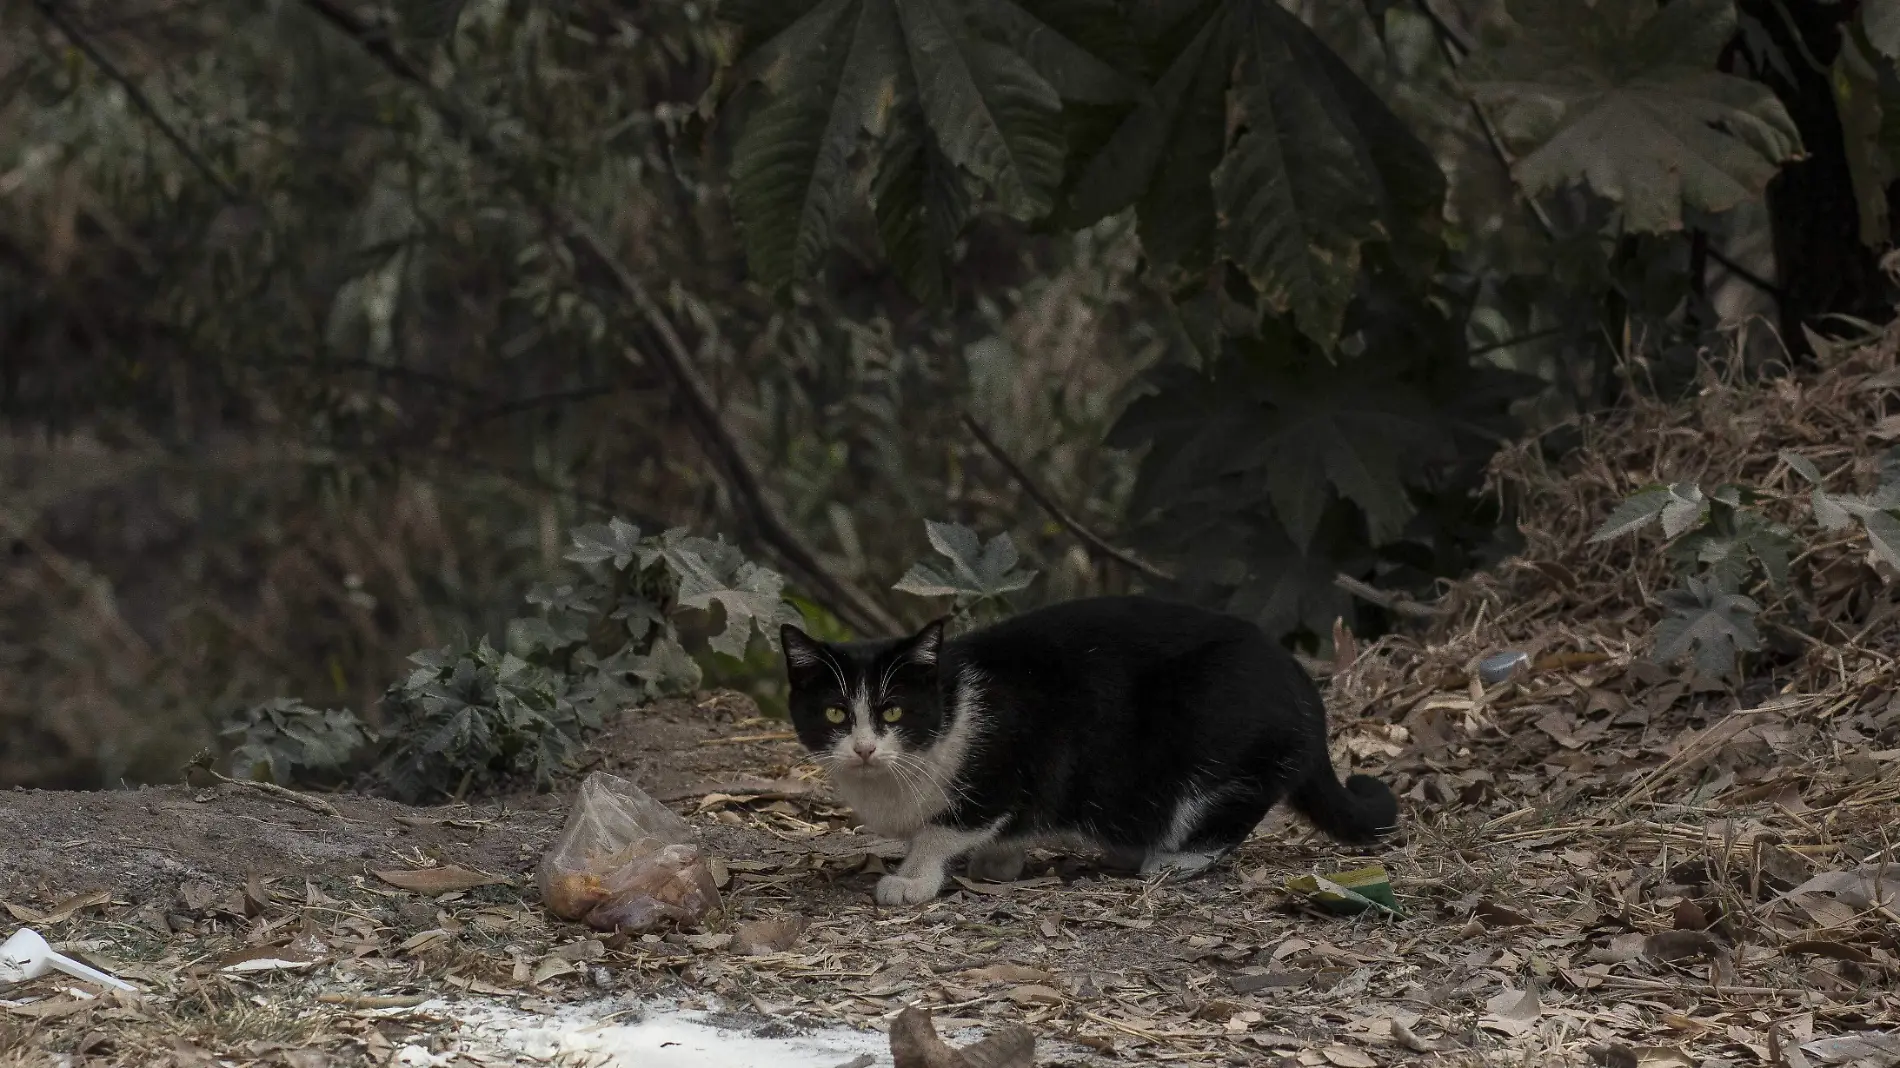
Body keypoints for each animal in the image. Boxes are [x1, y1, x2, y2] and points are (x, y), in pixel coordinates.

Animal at [775, 592, 1398, 900]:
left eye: (893, 712)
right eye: (834, 713)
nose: (862, 749)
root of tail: (1303, 684)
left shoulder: (1009, 766)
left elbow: (940, 830)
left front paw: (911, 880)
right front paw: (998, 862)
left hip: (1214, 733)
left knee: (1233, 801)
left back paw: (1173, 858)